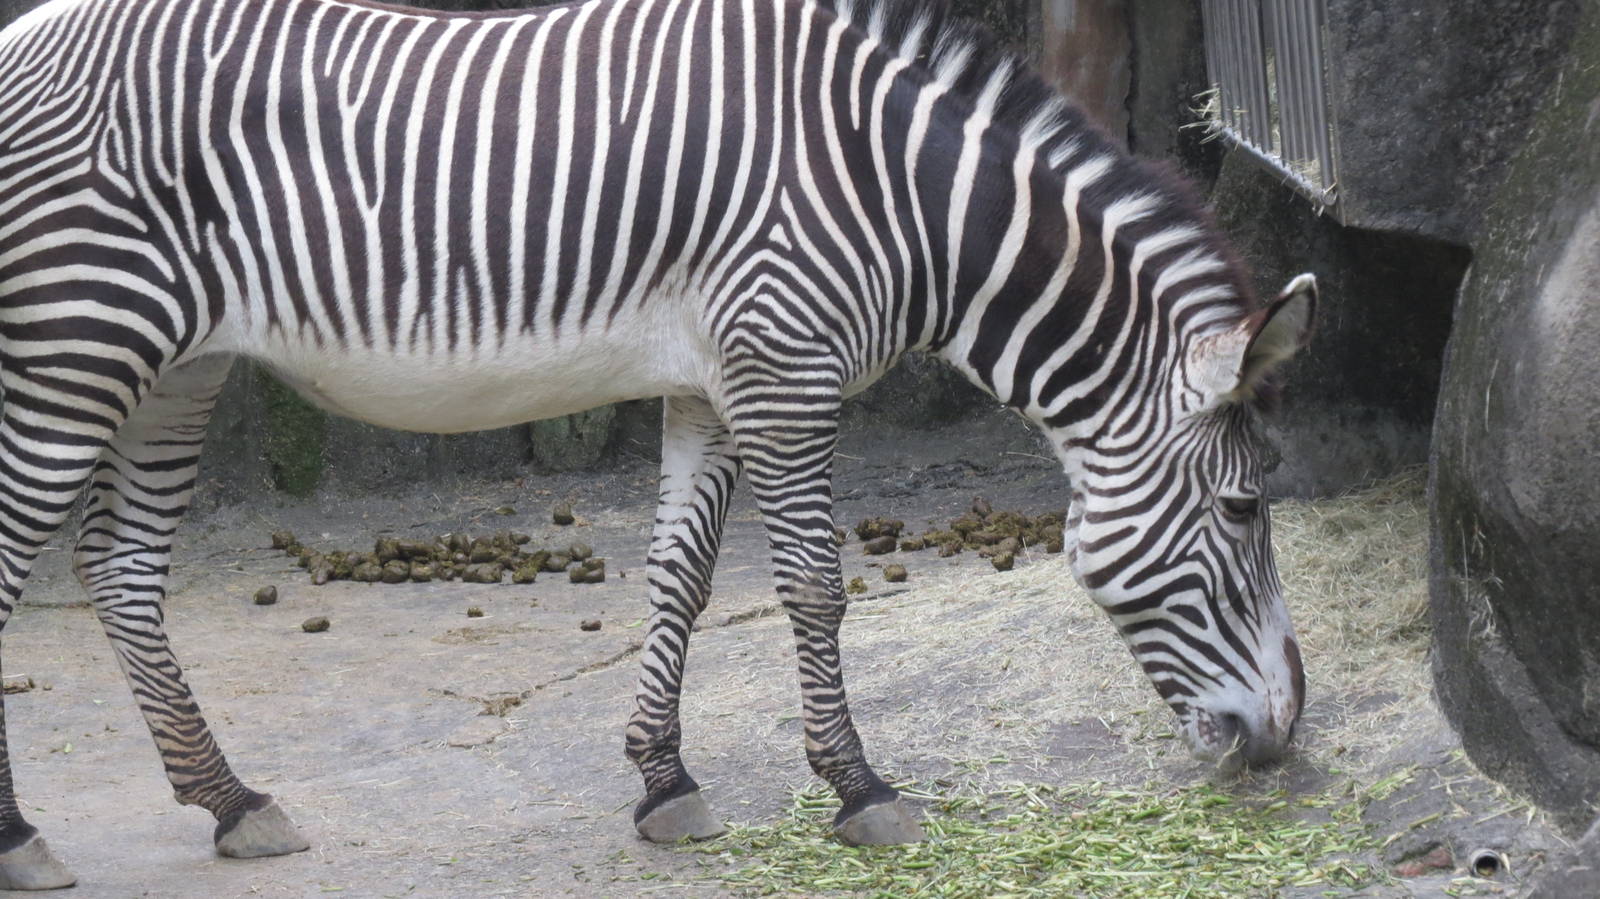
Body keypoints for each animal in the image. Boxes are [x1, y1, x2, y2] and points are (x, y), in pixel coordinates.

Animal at [0, 0, 1315, 886]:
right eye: (1246, 509)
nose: (1279, 738)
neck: (903, 199)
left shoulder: (714, 383)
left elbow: (679, 575)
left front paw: (664, 779)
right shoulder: (786, 371)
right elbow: (812, 584)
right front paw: (859, 787)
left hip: (176, 365)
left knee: (119, 570)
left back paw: (229, 800)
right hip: (77, 344)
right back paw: (24, 834)